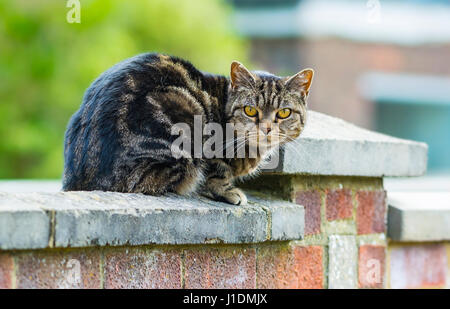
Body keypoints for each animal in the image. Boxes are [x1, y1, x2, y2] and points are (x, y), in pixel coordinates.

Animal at [63, 53, 314, 205]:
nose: (267, 128)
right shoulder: (212, 150)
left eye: (284, 113)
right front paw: (228, 191)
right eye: (250, 110)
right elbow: (218, 172)